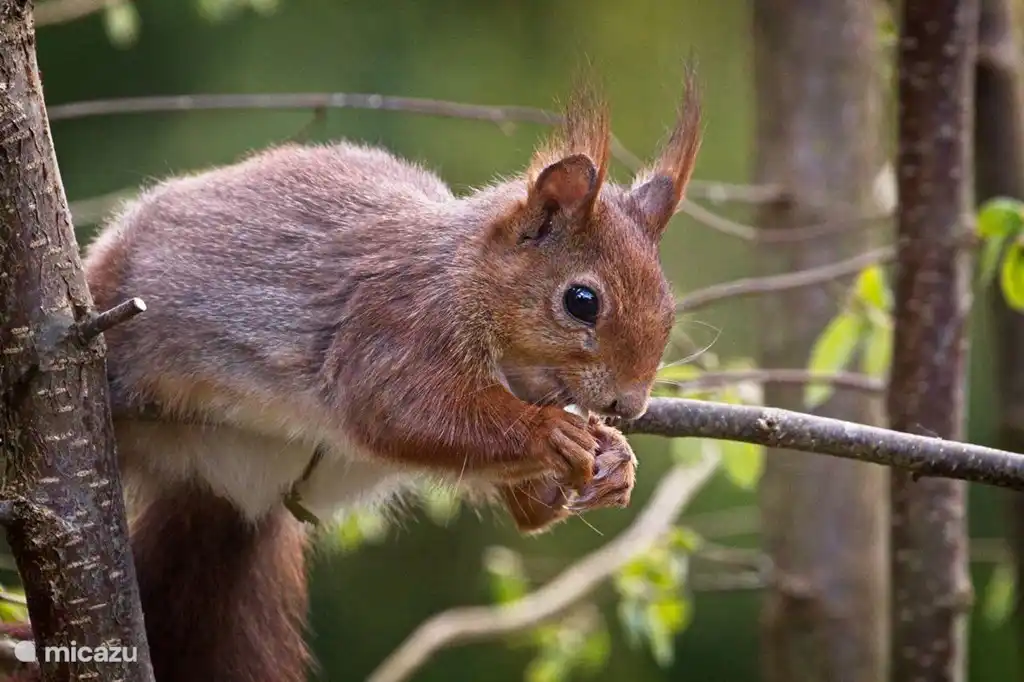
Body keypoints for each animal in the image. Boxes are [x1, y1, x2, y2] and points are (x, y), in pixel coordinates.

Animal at [1, 69, 701, 682]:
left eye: (668, 304)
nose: (630, 405)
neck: (464, 280)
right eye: (582, 301)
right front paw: (550, 433)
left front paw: (612, 461)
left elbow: (529, 507)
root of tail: (221, 482)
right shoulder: (390, 326)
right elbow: (396, 410)